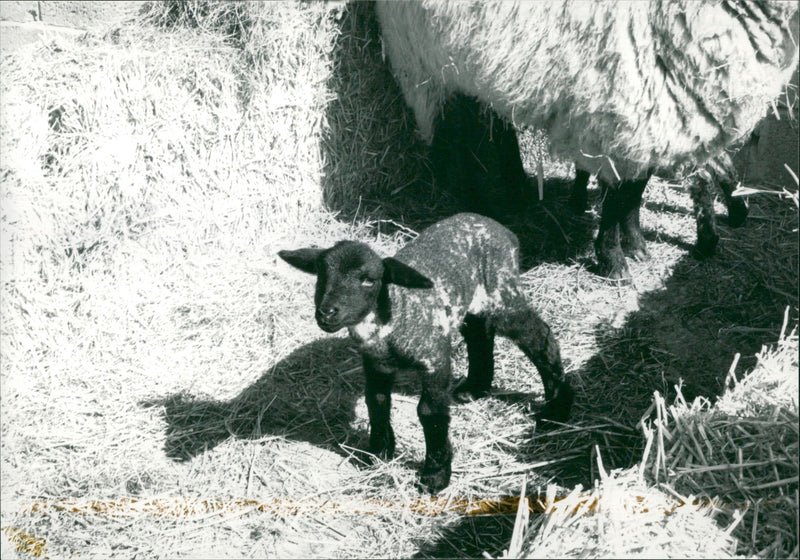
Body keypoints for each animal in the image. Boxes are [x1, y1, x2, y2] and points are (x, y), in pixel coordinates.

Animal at [278, 214, 572, 494]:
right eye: (320, 275)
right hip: (473, 301)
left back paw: (557, 408)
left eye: (369, 280)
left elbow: (430, 412)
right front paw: (380, 453)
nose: (327, 313)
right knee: (480, 335)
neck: (394, 317)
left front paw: (435, 475)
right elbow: (377, 401)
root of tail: (502, 230)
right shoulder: (376, 364)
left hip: (502, 292)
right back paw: (474, 388)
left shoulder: (434, 359)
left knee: (539, 337)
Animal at [376, 0, 800, 280]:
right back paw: (474, 203)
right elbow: (619, 196)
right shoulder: (623, 111)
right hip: (425, 62)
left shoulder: (647, 117)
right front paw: (613, 261)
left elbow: (633, 189)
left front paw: (634, 244)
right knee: (452, 138)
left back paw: (514, 189)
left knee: (490, 130)